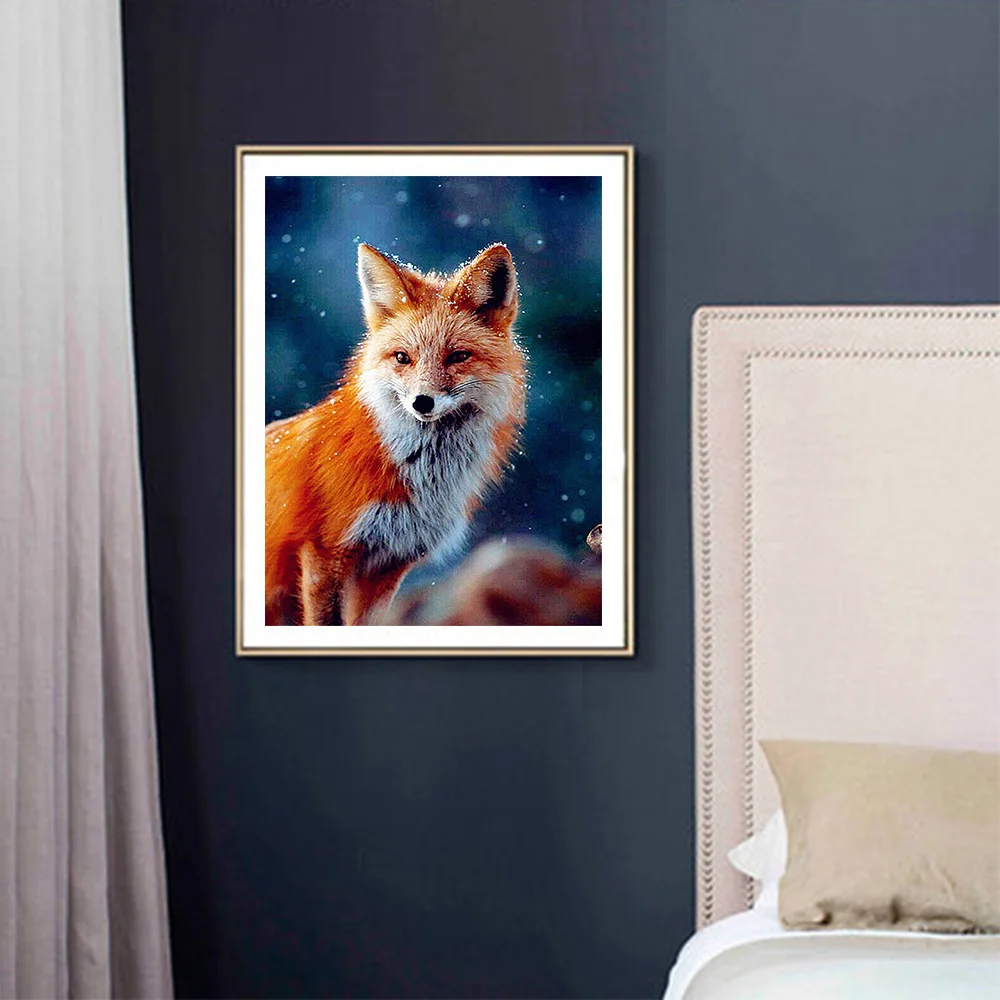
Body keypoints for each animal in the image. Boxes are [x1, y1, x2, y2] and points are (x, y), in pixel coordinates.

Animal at [264, 242, 527, 626]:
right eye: (403, 358)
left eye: (458, 356)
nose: (422, 402)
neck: (422, 479)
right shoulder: (325, 552)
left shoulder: (390, 562)